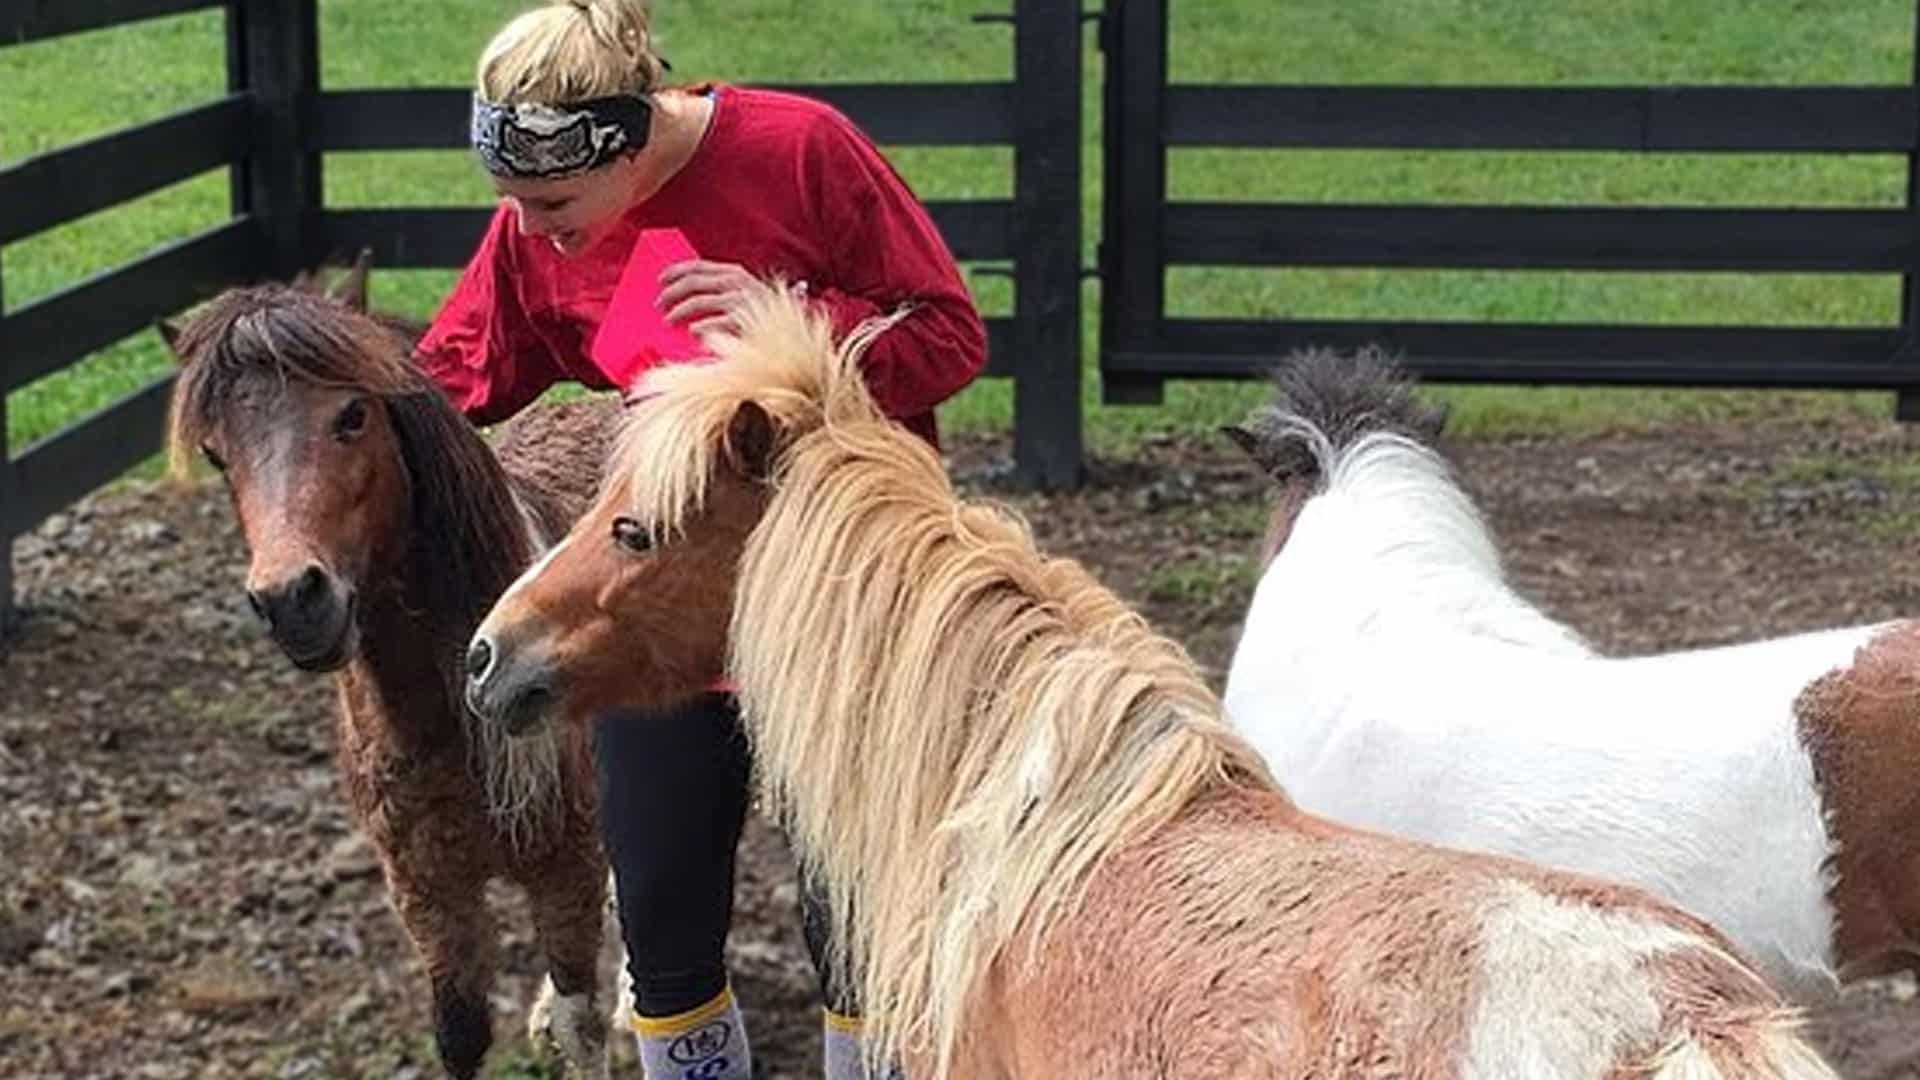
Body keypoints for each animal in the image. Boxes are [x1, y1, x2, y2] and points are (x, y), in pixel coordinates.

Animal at [161, 267, 621, 1080]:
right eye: (217, 454)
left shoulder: (564, 869)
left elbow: (581, 1026)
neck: (446, 721)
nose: (292, 600)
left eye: (352, 415)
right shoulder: (427, 895)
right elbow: (460, 1035)